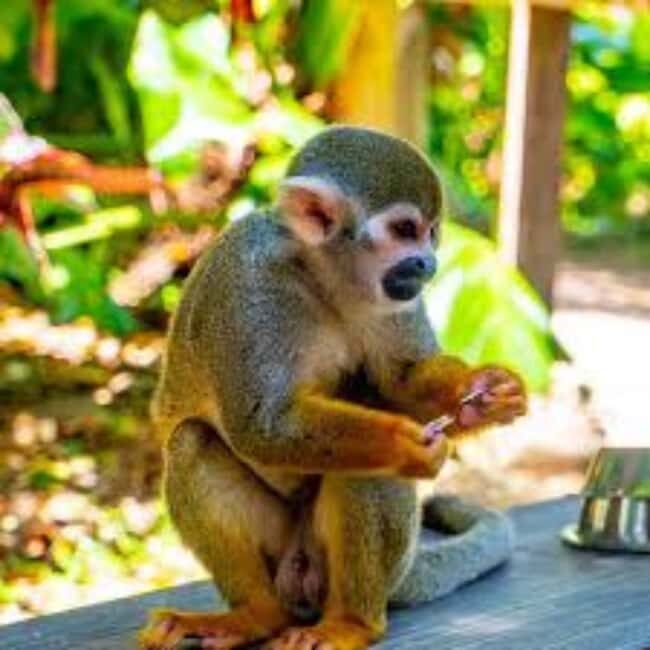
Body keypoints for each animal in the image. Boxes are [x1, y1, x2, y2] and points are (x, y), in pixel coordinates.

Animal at [139, 126, 526, 650]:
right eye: (405, 230)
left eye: (432, 232)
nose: (428, 263)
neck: (319, 276)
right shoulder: (250, 290)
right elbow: (261, 424)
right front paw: (405, 444)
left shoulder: (396, 298)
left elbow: (402, 381)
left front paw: (482, 394)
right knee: (192, 441)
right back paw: (257, 615)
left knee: (359, 470)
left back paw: (351, 622)